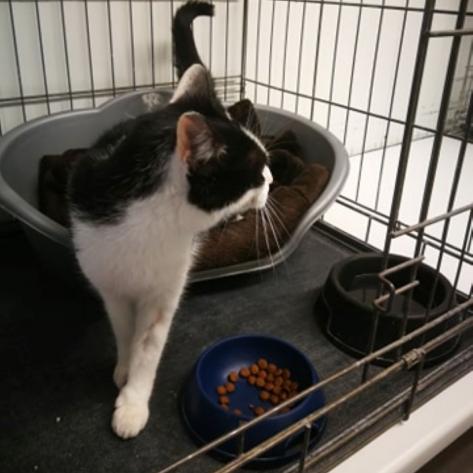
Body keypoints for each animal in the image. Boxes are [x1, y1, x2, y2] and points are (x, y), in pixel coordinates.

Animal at [68, 1, 272, 438]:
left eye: (266, 166)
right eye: (255, 172)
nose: (272, 179)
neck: (151, 227)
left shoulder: (166, 287)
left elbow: (149, 342)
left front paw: (133, 401)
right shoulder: (109, 280)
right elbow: (123, 328)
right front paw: (124, 367)